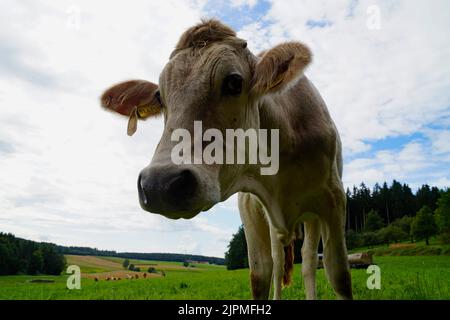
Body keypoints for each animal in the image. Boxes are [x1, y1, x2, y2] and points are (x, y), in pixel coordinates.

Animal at [100, 19, 354, 300]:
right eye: (158, 96)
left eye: (234, 82)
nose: (160, 184)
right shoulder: (250, 206)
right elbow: (261, 274)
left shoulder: (333, 199)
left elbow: (338, 274)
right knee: (279, 262)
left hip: (311, 217)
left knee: (308, 261)